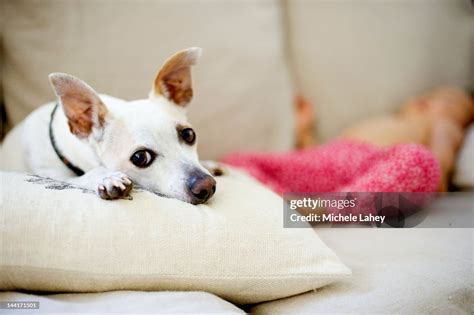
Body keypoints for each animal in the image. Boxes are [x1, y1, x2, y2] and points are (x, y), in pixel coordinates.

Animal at [3, 47, 218, 204]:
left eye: (189, 135)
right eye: (140, 157)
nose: (206, 185)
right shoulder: (51, 174)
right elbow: (85, 175)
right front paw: (107, 178)